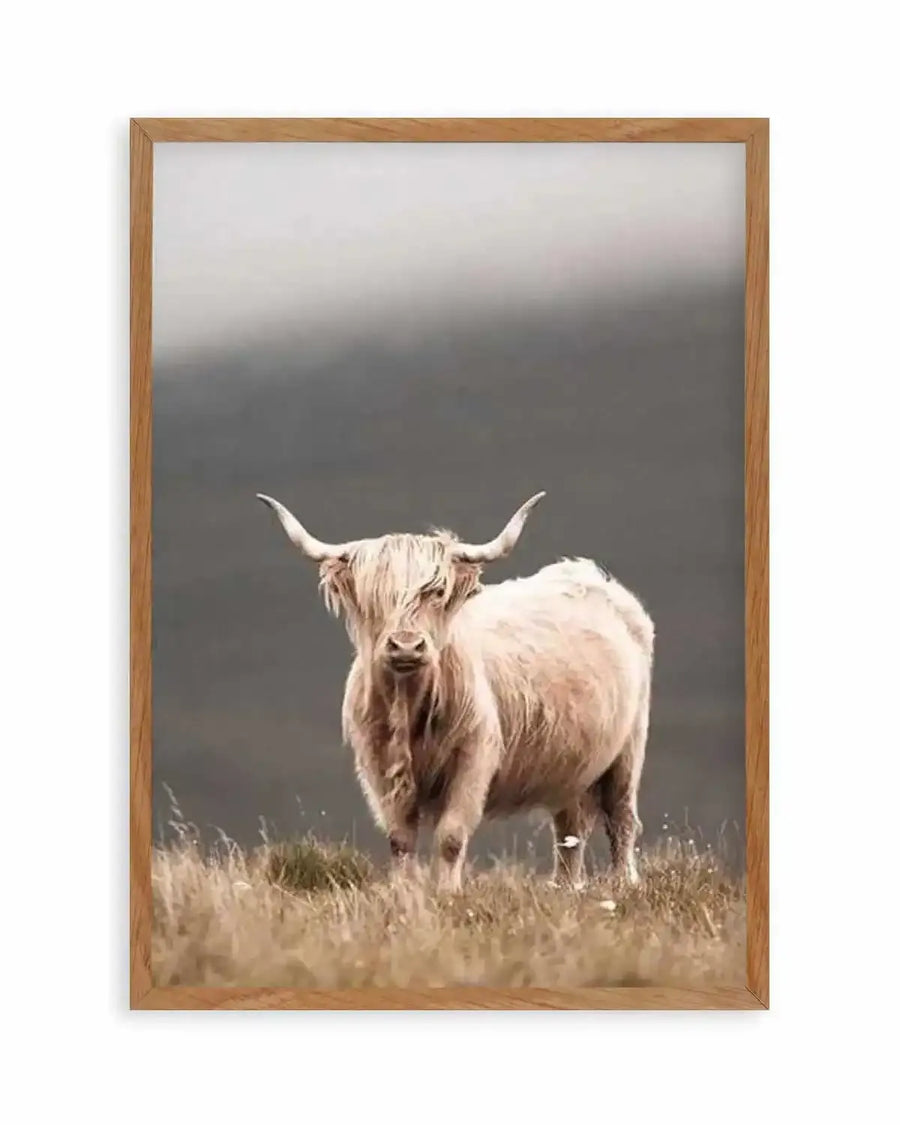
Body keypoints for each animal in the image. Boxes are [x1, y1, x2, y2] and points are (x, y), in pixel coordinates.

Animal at [257, 491, 654, 892]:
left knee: (621, 818)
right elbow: (400, 839)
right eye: (374, 596)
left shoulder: (474, 759)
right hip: (571, 764)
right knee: (570, 829)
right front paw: (405, 892)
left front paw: (448, 893)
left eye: (436, 592)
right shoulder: (378, 766)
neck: (410, 709)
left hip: (628, 749)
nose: (406, 646)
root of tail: (586, 574)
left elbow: (451, 836)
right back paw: (565, 888)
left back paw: (625, 883)